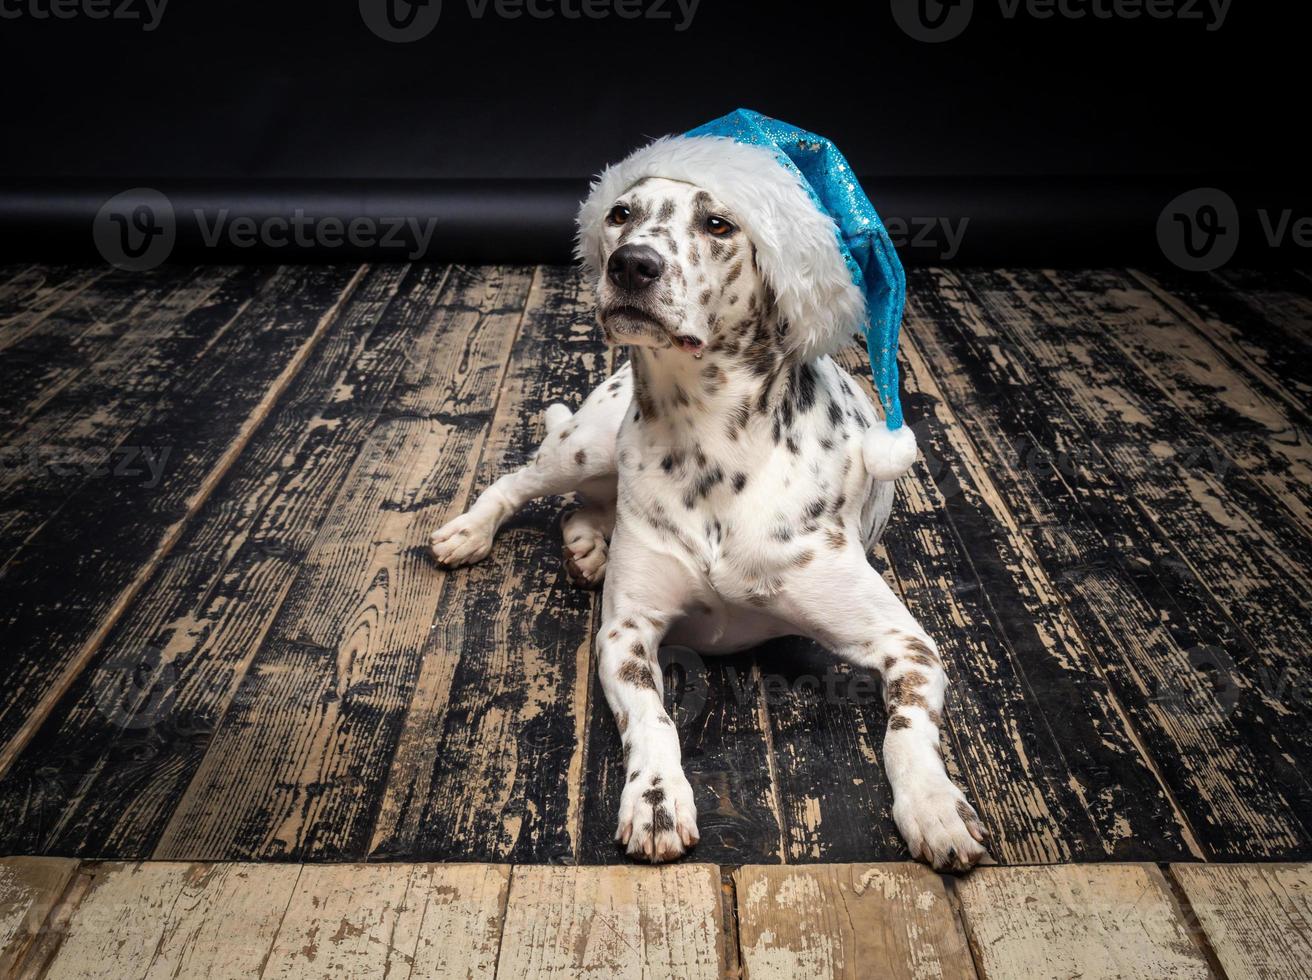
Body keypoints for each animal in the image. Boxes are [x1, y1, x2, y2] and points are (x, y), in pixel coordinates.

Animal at [427, 166, 986, 876]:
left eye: (718, 223)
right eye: (620, 213)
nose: (631, 263)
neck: (708, 442)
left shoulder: (908, 645)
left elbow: (907, 730)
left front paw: (935, 804)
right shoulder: (626, 634)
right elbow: (654, 721)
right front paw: (657, 799)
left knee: (586, 504)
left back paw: (586, 546)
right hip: (586, 443)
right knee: (523, 480)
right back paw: (472, 531)